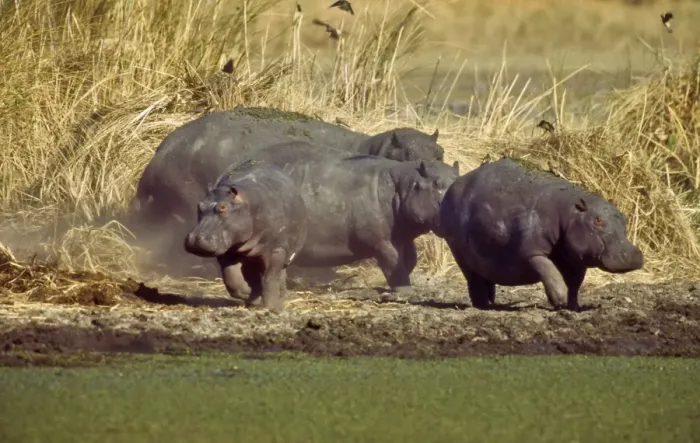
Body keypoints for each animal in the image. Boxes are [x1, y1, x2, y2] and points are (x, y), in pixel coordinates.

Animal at [184, 160, 307, 311]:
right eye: (199, 205)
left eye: (223, 207)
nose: (196, 239)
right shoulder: (228, 252)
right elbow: (232, 279)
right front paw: (249, 295)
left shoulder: (277, 250)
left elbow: (270, 279)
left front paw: (271, 307)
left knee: (278, 278)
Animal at [212, 141, 460, 296]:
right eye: (436, 183)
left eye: (458, 179)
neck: (402, 185)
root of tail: (229, 171)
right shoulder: (381, 241)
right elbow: (393, 262)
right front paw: (402, 293)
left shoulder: (402, 236)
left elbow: (409, 260)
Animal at [436, 158, 645, 311]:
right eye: (598, 220)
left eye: (624, 218)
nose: (633, 254)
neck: (569, 214)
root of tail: (454, 185)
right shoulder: (532, 251)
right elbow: (549, 270)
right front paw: (560, 301)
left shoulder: (576, 258)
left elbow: (575, 284)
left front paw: (573, 307)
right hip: (458, 251)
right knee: (474, 279)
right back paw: (482, 307)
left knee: (485, 278)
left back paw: (490, 303)